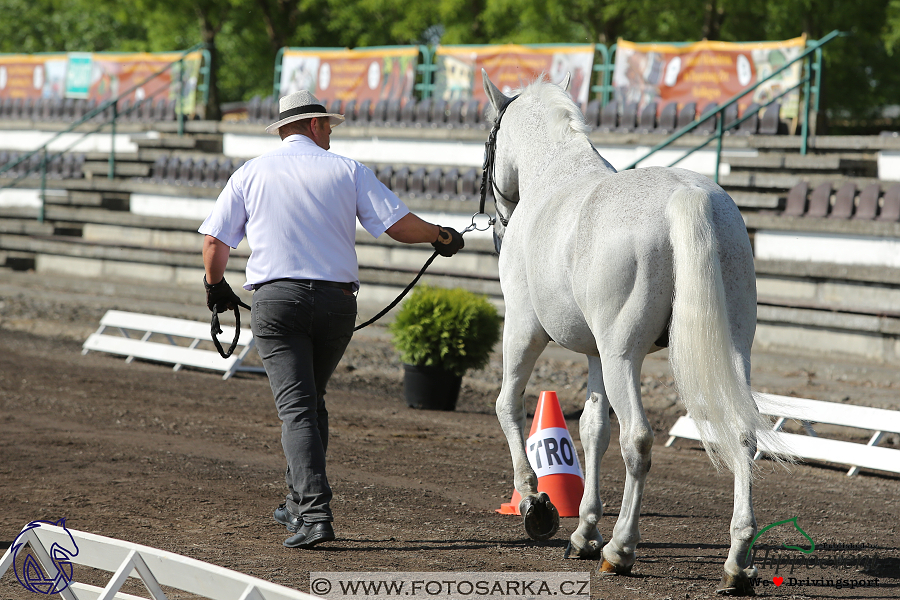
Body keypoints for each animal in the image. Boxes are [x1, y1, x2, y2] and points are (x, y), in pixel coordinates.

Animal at [486, 71, 788, 596]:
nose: (501, 226)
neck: (554, 175)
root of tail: (686, 195)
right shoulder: (594, 355)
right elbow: (592, 429)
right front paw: (583, 531)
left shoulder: (525, 329)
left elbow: (510, 406)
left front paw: (534, 503)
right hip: (730, 351)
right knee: (743, 436)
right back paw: (737, 562)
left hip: (622, 355)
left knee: (640, 441)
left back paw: (621, 550)